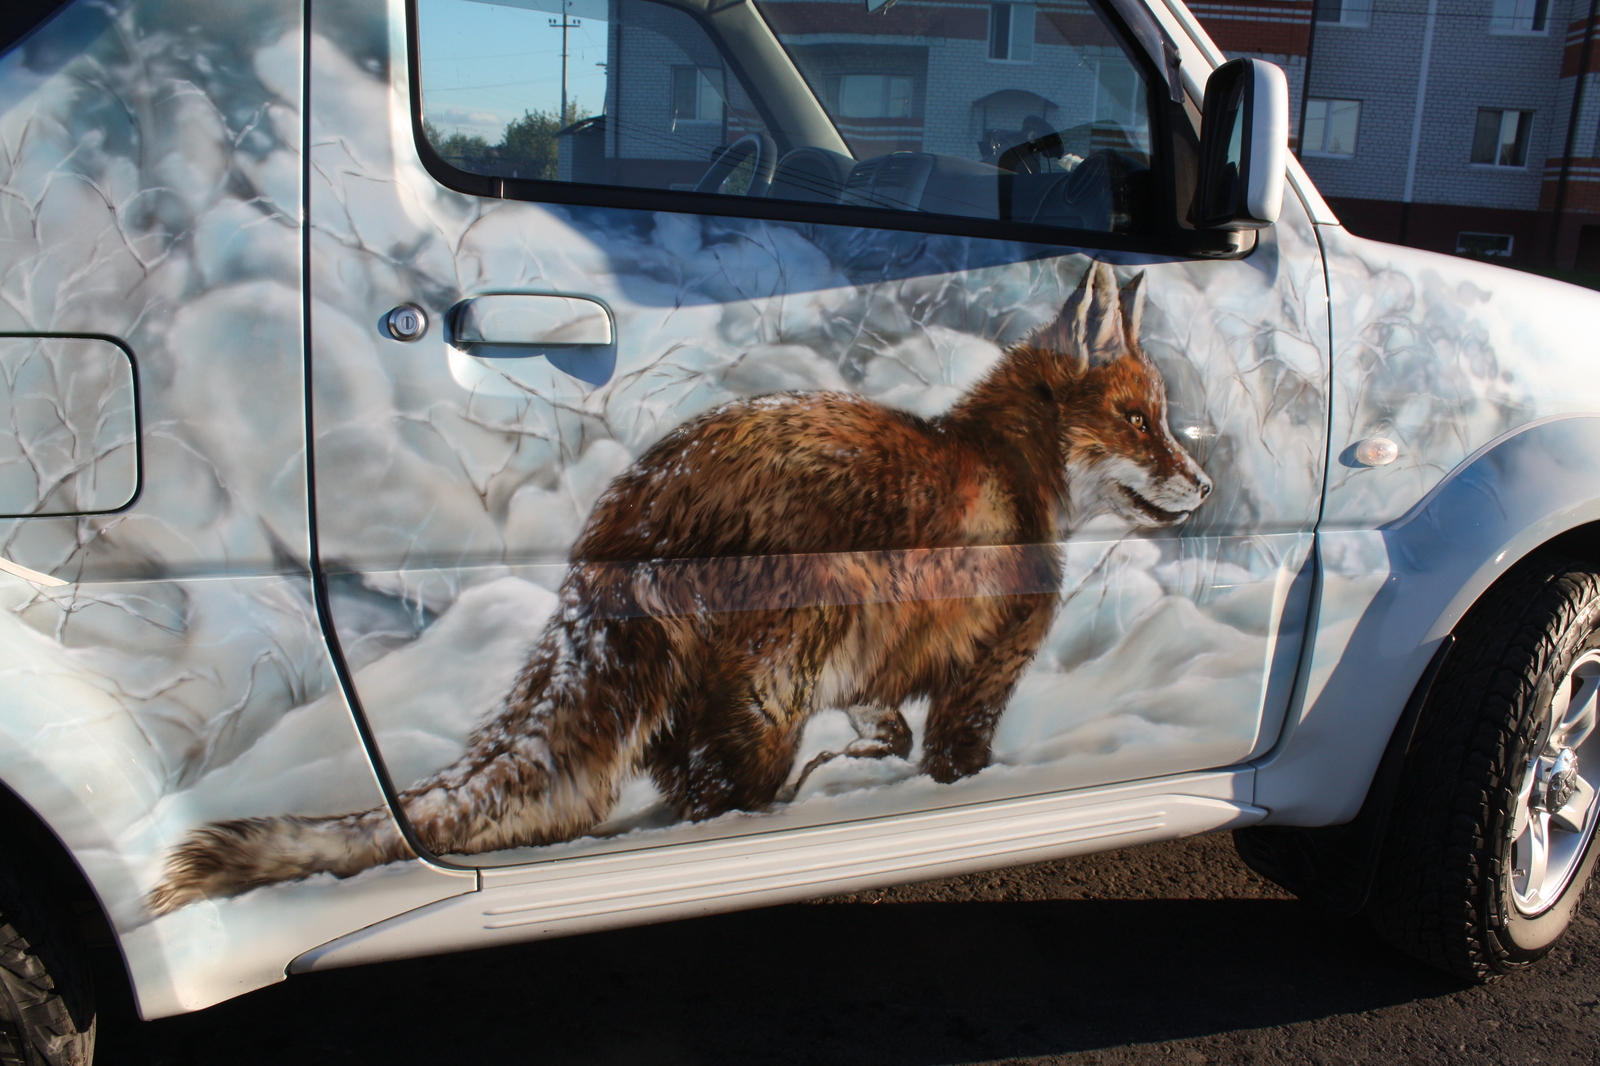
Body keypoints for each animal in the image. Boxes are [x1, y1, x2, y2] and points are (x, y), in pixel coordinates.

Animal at [150, 260, 1209, 909]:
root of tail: (626, 515)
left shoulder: (891, 669)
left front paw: (879, 761)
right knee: (718, 798)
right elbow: (958, 757)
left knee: (676, 783)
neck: (1010, 469)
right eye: (1141, 422)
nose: (1203, 484)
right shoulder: (986, 666)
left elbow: (890, 728)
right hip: (775, 689)